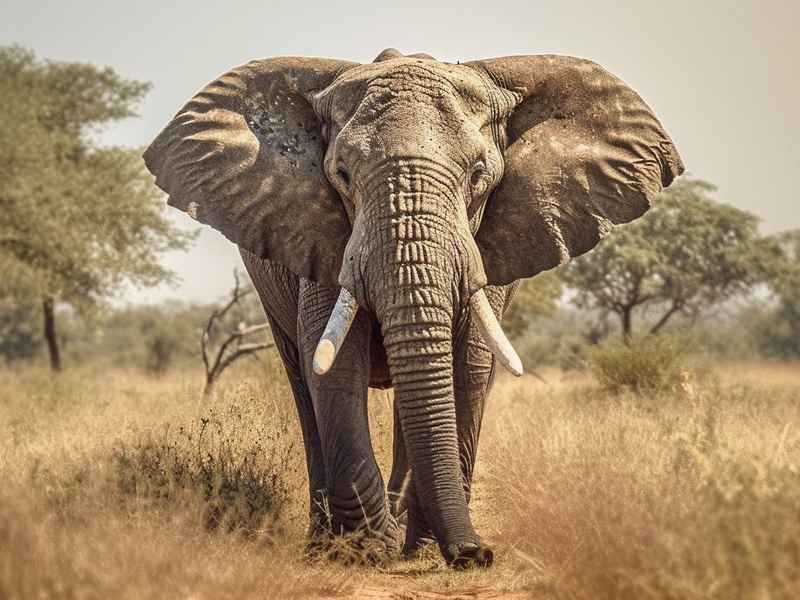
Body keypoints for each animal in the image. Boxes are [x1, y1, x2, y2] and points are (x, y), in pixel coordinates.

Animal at [143, 48, 683, 568]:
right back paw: (326, 544)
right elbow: (335, 364)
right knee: (302, 378)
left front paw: (429, 547)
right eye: (342, 175)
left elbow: (469, 365)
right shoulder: (318, 237)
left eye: (479, 176)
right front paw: (366, 550)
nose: (478, 555)